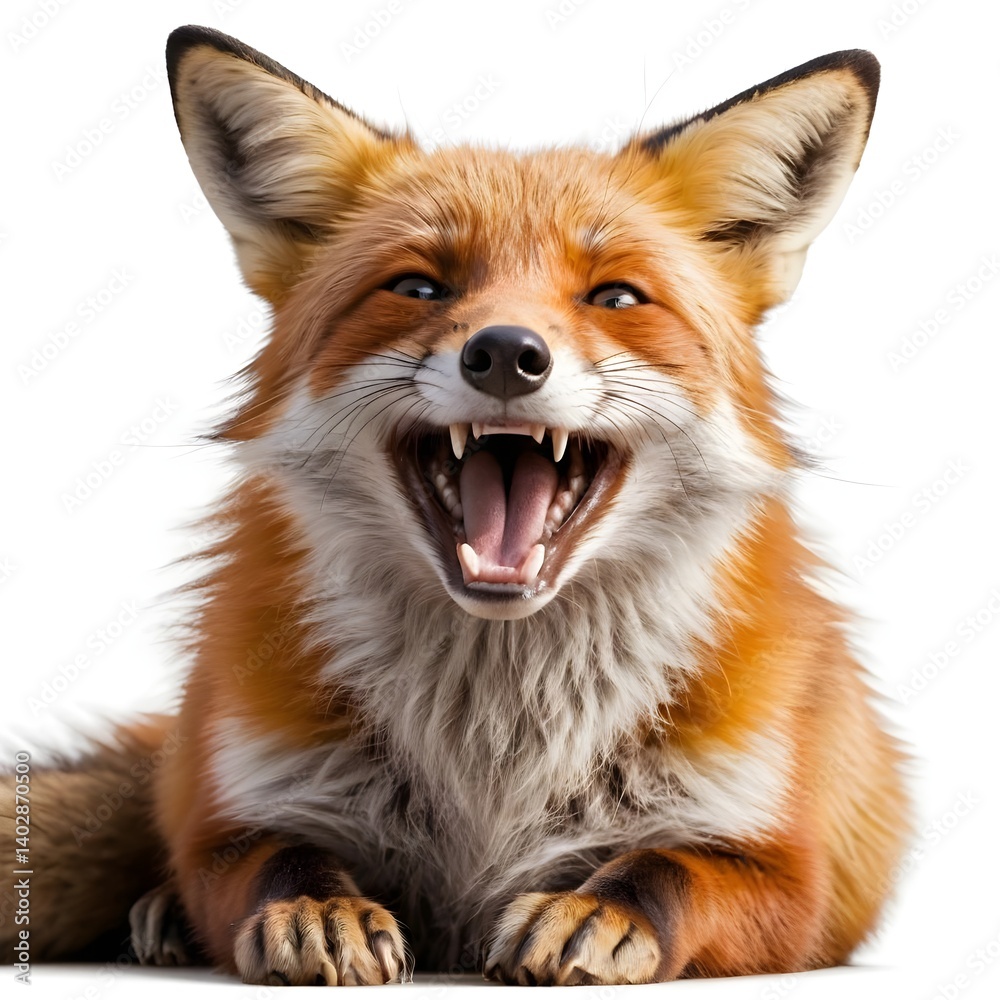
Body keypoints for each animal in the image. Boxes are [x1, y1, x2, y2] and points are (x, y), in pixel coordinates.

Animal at [1, 26, 909, 987]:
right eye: (419, 286)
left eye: (616, 297)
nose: (507, 352)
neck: (496, 761)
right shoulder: (238, 806)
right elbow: (274, 858)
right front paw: (318, 911)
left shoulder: (793, 874)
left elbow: (666, 868)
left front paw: (596, 912)